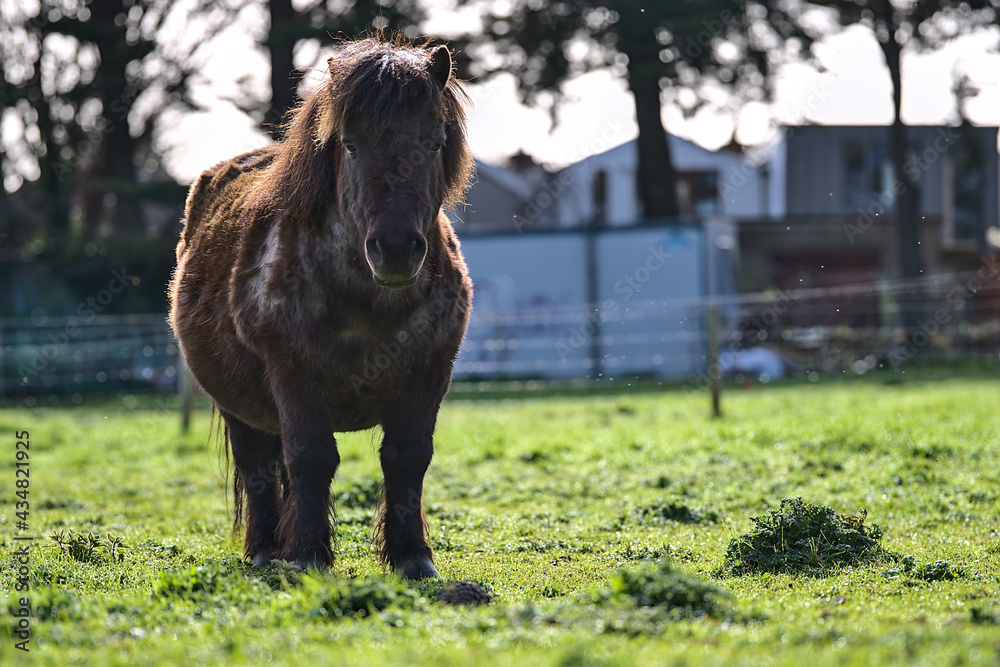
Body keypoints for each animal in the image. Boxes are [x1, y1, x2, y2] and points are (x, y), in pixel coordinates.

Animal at [168, 36, 473, 579]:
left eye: (435, 144)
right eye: (351, 145)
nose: (396, 250)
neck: (370, 307)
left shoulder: (430, 374)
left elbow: (407, 458)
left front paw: (413, 558)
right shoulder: (293, 375)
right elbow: (310, 458)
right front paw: (308, 555)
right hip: (238, 404)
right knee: (259, 464)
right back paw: (267, 549)